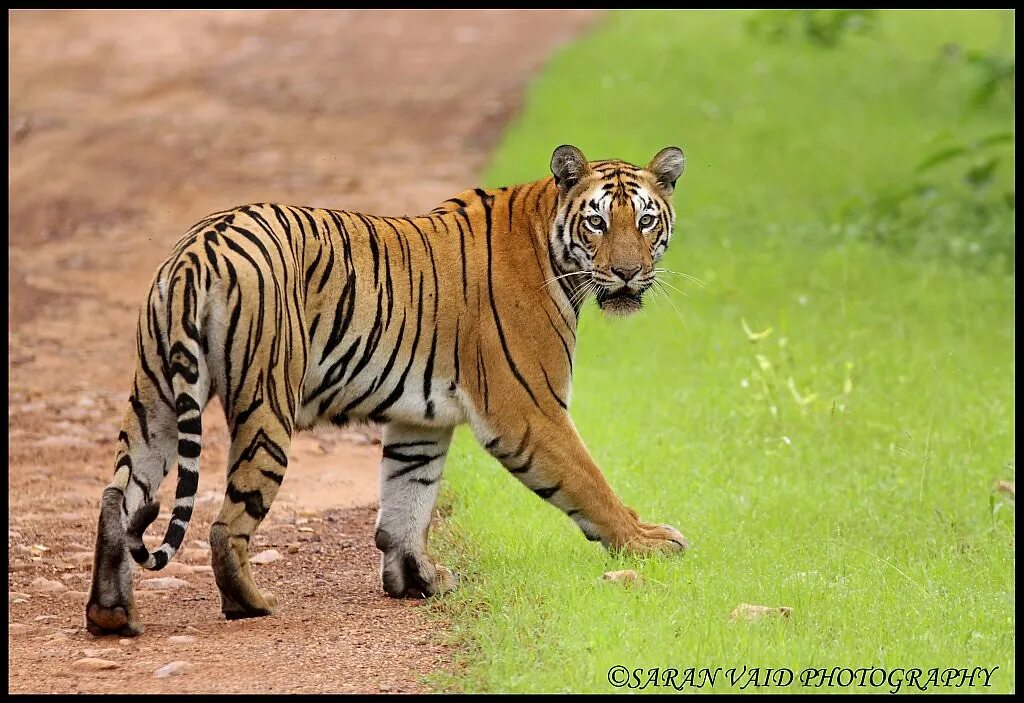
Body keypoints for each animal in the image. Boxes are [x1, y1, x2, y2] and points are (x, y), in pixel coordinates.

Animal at [86, 144, 688, 638]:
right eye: (597, 222)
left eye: (645, 219)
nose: (628, 273)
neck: (551, 242)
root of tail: (198, 247)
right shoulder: (529, 411)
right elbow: (590, 483)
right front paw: (648, 543)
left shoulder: (420, 421)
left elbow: (406, 501)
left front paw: (417, 580)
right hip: (267, 404)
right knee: (225, 524)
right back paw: (251, 605)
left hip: (156, 400)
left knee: (118, 496)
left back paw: (111, 615)